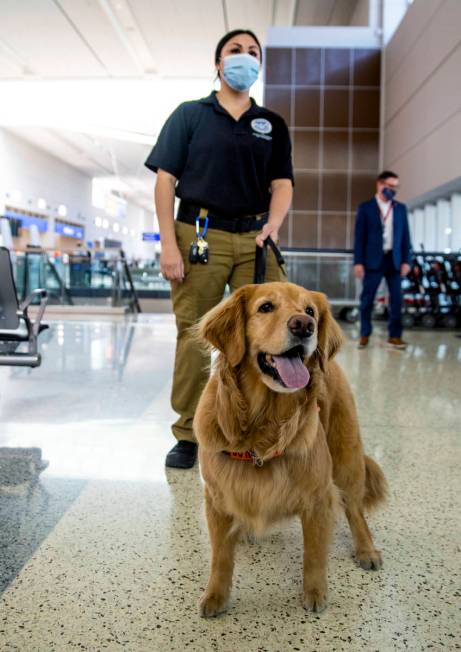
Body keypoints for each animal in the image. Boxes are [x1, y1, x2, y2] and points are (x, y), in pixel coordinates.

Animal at [192, 282, 386, 616]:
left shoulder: (318, 498)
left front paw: (315, 592)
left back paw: (366, 550)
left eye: (310, 310)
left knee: (355, 510)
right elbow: (220, 557)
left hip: (346, 458)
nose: (304, 325)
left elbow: (314, 553)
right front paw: (215, 596)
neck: (262, 427)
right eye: (266, 307)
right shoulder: (216, 498)